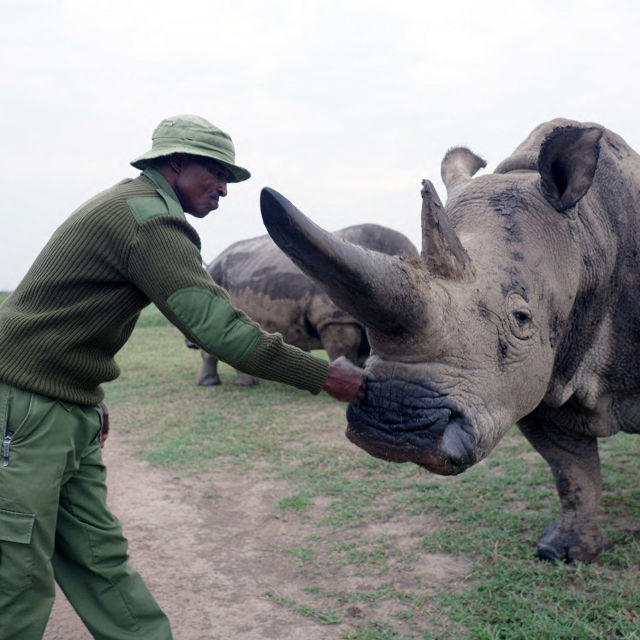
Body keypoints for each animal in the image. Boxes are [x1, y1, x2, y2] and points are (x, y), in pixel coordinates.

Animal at [259, 118, 640, 563]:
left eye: (521, 318)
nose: (394, 428)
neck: (588, 235)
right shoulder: (534, 380)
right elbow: (571, 471)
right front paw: (565, 551)